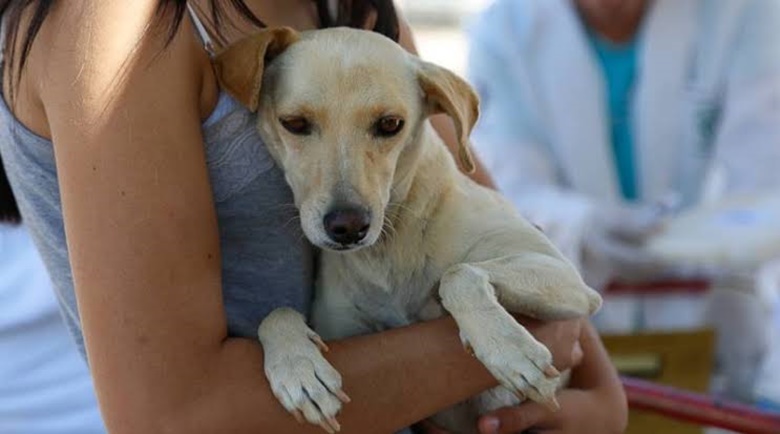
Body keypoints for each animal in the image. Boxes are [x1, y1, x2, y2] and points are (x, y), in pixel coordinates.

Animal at [213, 27, 604, 434]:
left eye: (389, 124)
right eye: (294, 123)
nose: (348, 226)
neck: (389, 250)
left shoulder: (567, 278)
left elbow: (458, 275)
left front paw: (507, 348)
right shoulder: (343, 330)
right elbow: (276, 314)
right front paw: (298, 368)